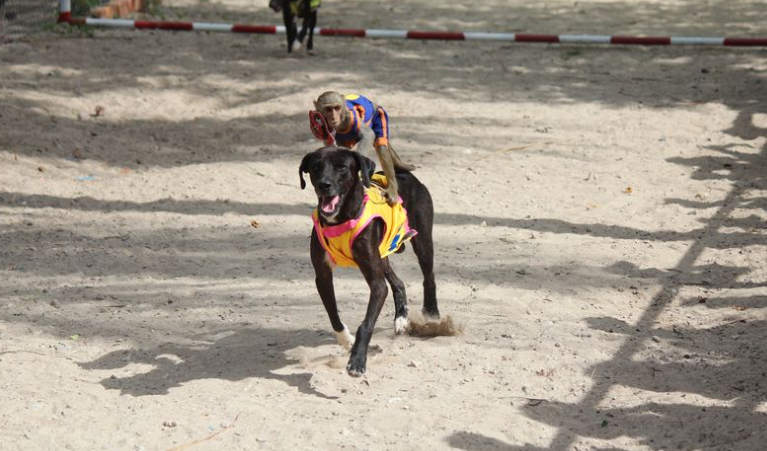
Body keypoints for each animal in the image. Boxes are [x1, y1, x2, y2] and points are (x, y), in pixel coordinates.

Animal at [302, 147, 444, 376]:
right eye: (315, 167)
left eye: (342, 167)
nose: (325, 184)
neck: (341, 218)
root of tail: (403, 174)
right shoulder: (322, 276)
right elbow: (333, 315)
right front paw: (348, 342)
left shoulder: (377, 284)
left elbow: (366, 324)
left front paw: (357, 360)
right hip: (381, 254)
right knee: (398, 283)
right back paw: (401, 319)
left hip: (422, 241)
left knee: (428, 276)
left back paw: (431, 312)